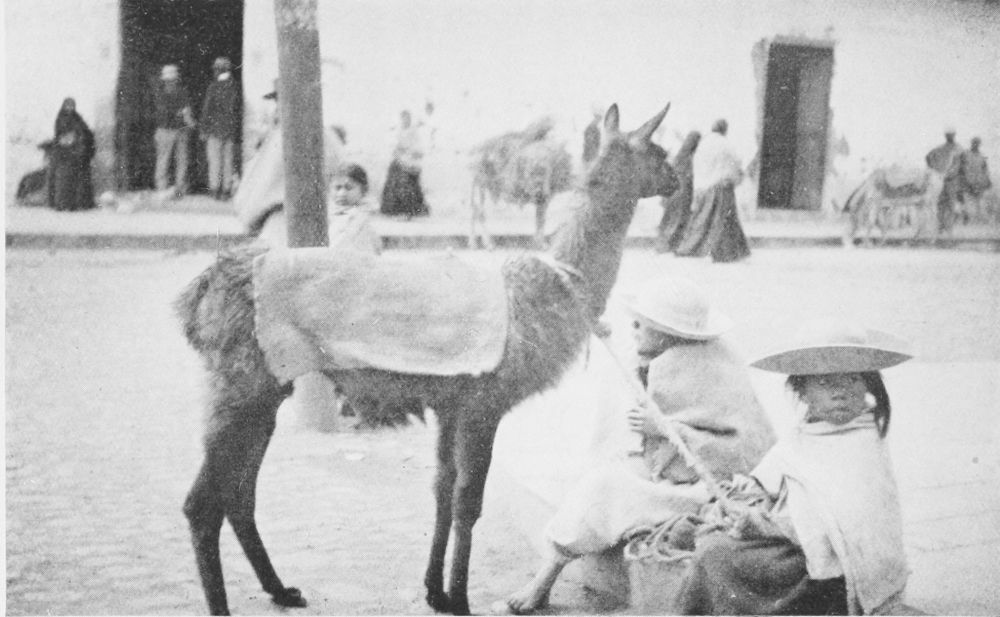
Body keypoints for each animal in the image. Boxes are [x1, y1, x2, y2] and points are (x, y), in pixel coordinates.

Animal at [175, 103, 678, 615]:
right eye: (659, 152)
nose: (677, 181)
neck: (545, 291)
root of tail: (200, 291)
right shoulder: (483, 402)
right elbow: (468, 502)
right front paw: (461, 598)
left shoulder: (451, 404)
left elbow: (442, 491)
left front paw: (435, 590)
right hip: (241, 385)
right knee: (202, 503)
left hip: (266, 390)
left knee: (238, 495)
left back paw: (282, 589)